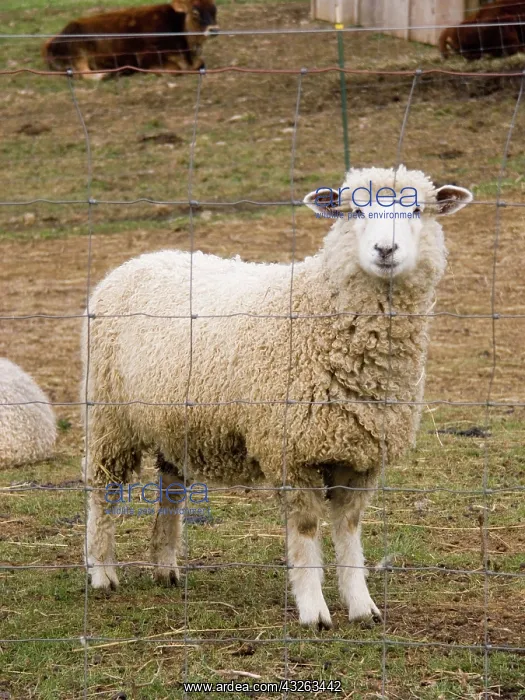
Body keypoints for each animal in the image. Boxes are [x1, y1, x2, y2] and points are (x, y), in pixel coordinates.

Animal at [82, 166, 472, 628]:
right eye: (354, 210)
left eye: (416, 210)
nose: (385, 249)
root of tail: (138, 260)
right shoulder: (291, 449)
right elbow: (304, 531)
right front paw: (314, 610)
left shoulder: (360, 455)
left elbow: (349, 529)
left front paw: (362, 605)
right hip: (109, 415)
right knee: (103, 490)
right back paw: (102, 572)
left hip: (174, 421)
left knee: (171, 490)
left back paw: (165, 567)